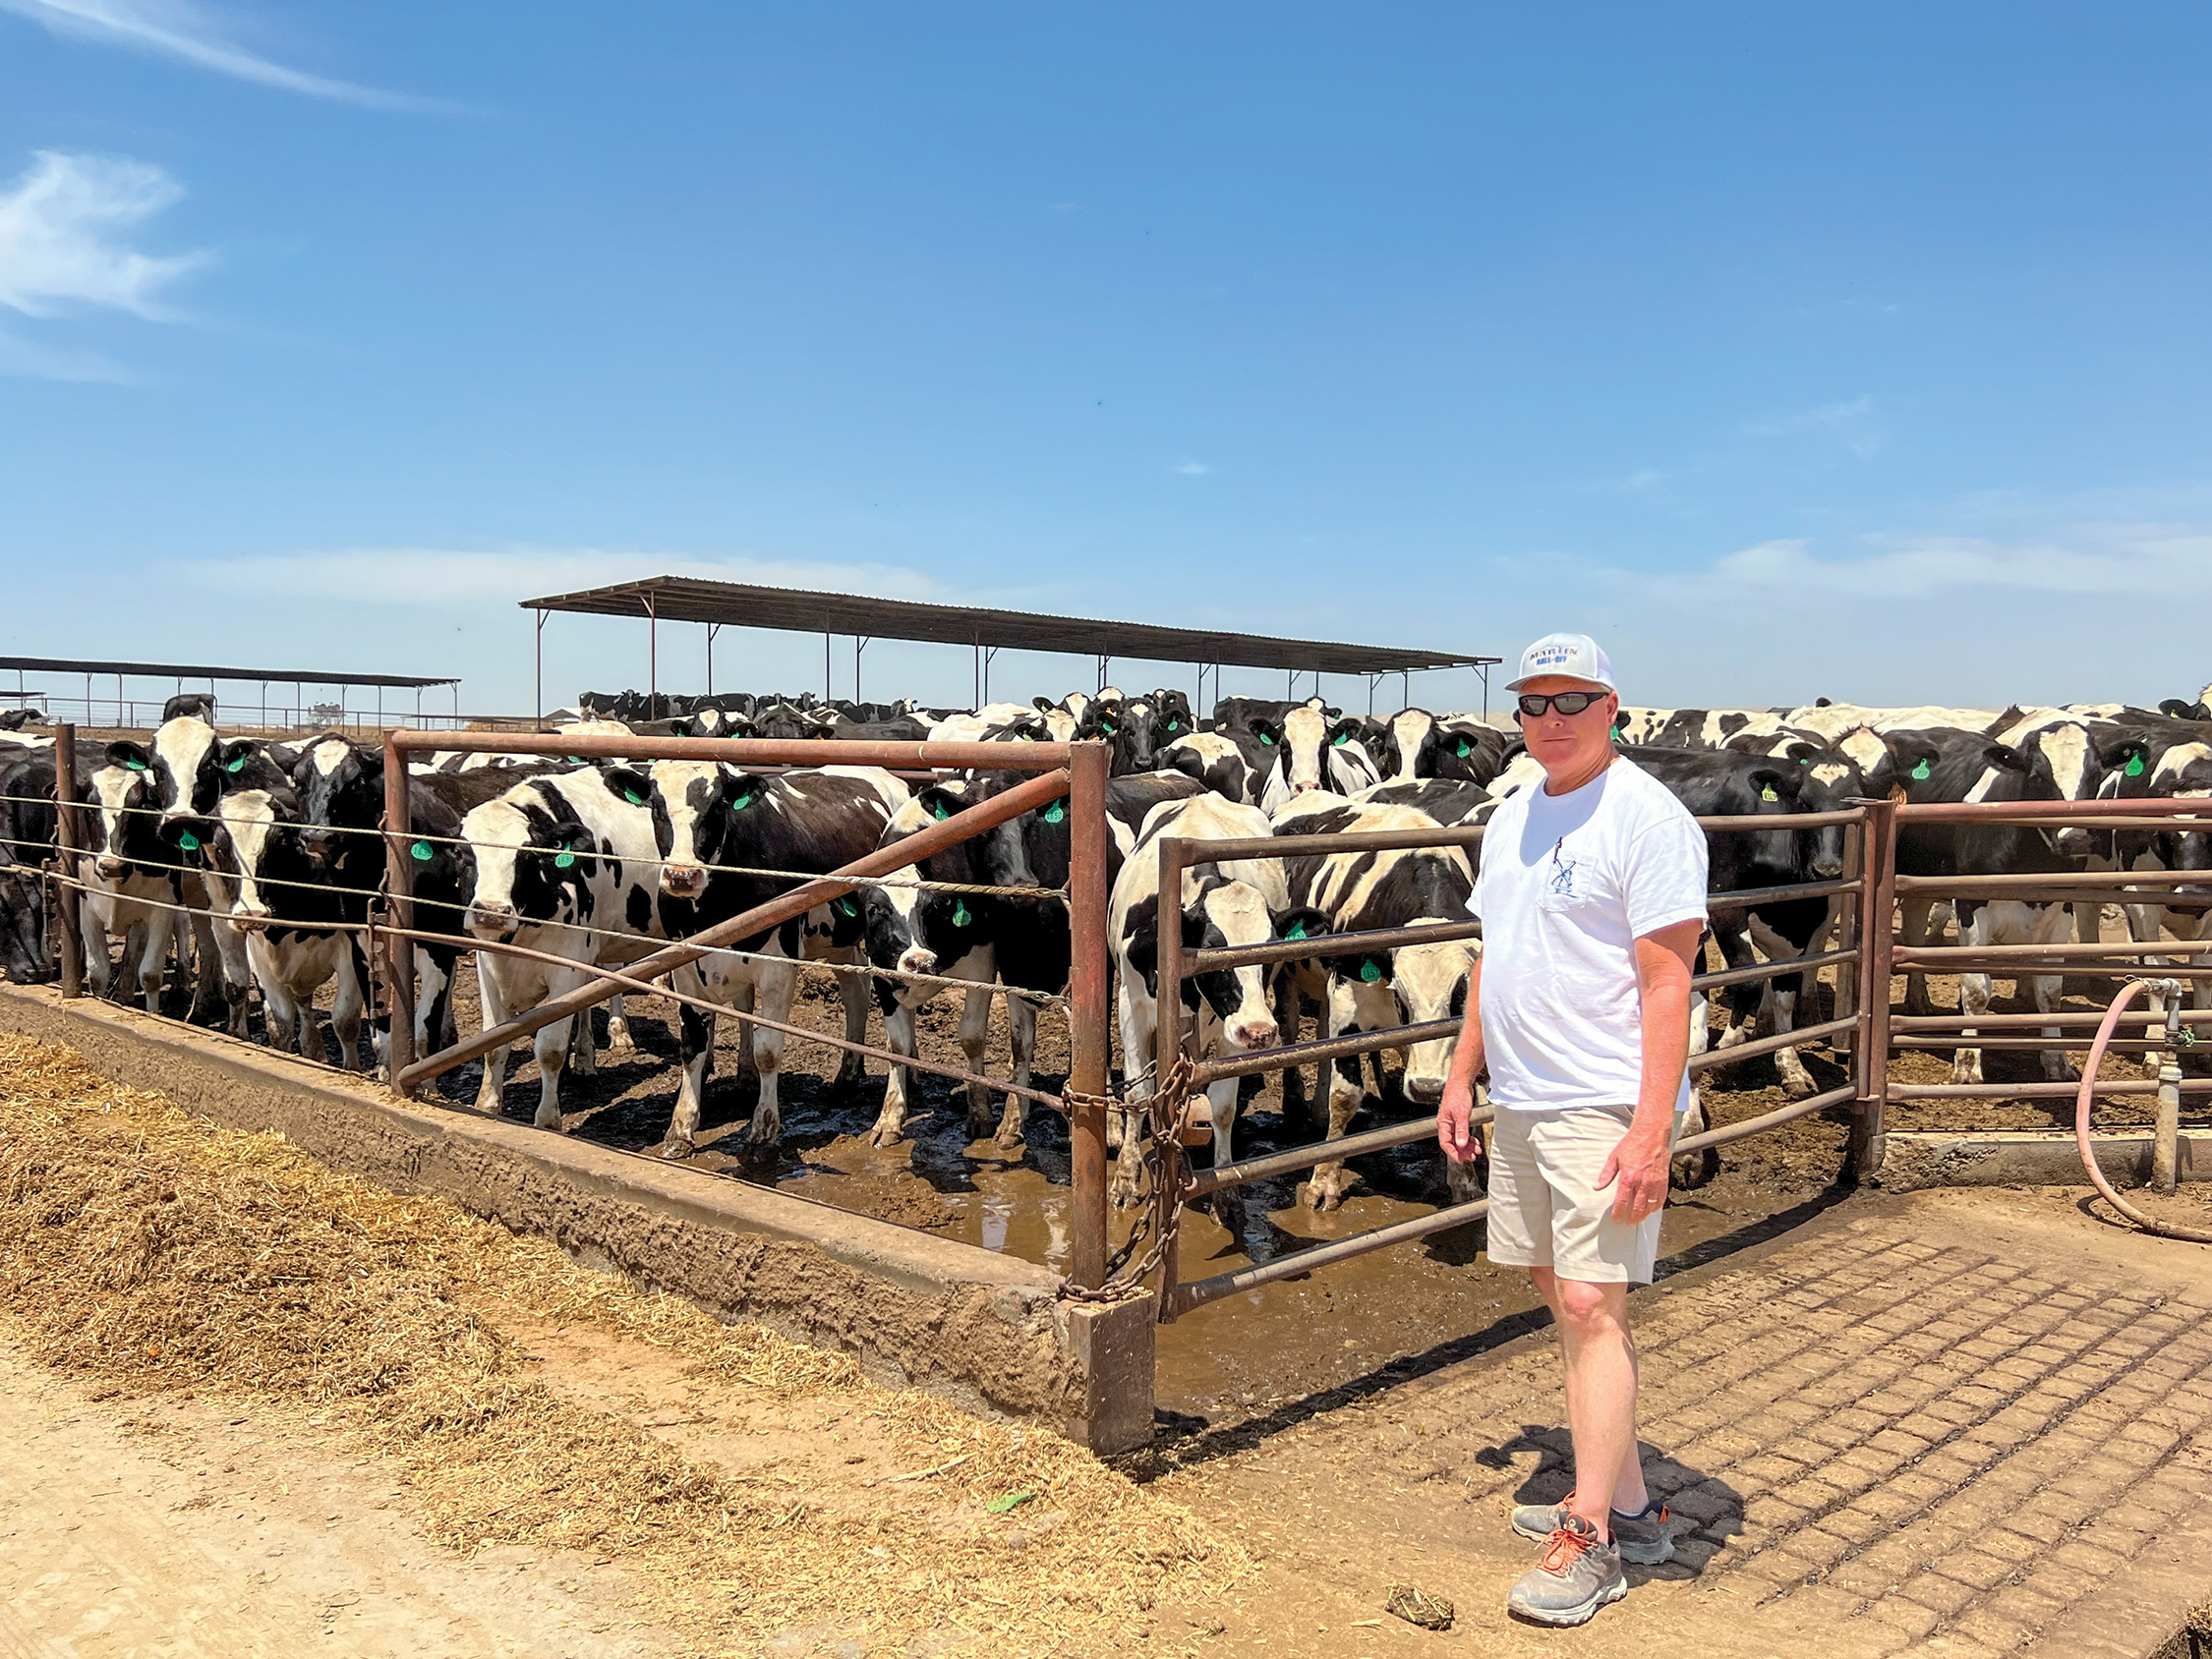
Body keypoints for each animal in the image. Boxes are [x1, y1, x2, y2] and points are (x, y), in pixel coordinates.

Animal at [611, 765, 902, 1159]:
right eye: (656, 805)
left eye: (719, 805)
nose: (682, 876)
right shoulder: (685, 966)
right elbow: (692, 1044)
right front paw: (681, 1128)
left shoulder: (778, 965)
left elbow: (768, 1050)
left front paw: (762, 1131)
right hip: (840, 940)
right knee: (853, 992)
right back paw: (844, 1077)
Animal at [1274, 800, 1478, 1212]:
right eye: (1401, 995)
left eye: (1460, 996)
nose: (1427, 1088)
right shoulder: (1348, 996)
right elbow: (1345, 1096)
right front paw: (1323, 1183)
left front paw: (1464, 1183)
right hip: (1289, 975)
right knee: (1290, 1029)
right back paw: (1296, 1106)